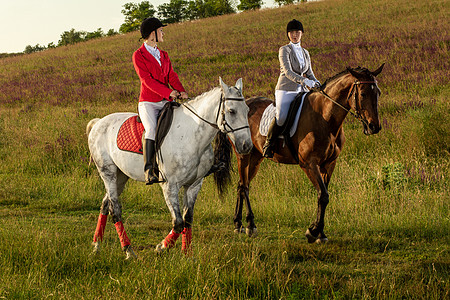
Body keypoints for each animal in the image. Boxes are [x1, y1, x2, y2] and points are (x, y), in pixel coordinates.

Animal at [86, 78, 251, 258]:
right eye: (231, 111)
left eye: (248, 110)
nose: (246, 146)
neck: (191, 134)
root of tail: (99, 122)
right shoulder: (170, 186)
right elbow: (178, 222)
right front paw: (162, 246)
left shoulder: (194, 184)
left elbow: (187, 219)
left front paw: (187, 254)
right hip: (108, 172)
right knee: (115, 209)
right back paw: (128, 250)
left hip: (121, 176)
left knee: (105, 205)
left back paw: (96, 245)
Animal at [217, 63, 384, 244]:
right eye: (363, 93)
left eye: (378, 93)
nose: (374, 127)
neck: (325, 119)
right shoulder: (308, 164)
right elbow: (323, 195)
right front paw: (313, 231)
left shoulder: (329, 164)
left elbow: (323, 195)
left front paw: (320, 233)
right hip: (244, 155)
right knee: (245, 186)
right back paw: (250, 225)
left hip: (256, 158)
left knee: (241, 185)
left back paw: (238, 224)